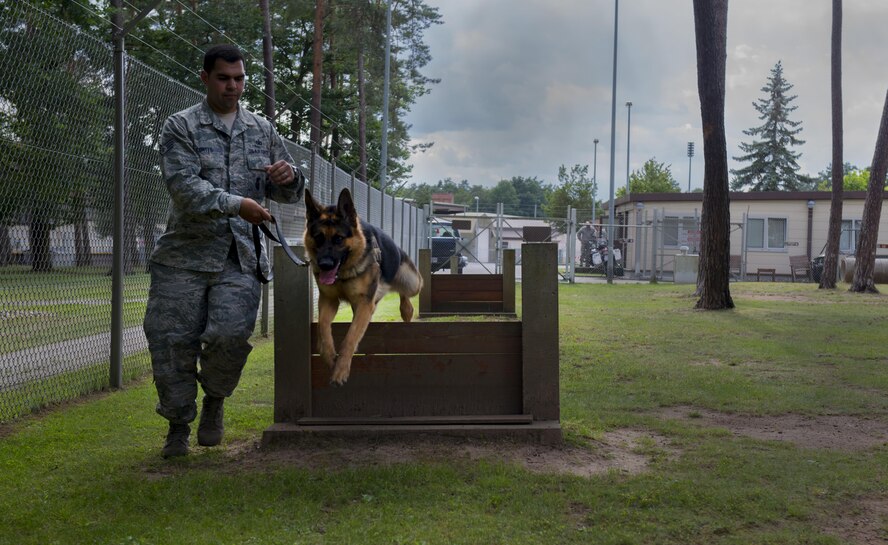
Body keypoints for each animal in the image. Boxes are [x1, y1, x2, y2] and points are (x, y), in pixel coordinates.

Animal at [306, 189, 424, 384]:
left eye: (339, 239)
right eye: (319, 238)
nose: (324, 265)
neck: (344, 274)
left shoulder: (363, 304)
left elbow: (351, 337)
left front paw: (340, 371)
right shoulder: (329, 300)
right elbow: (323, 327)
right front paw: (329, 357)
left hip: (412, 283)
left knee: (407, 291)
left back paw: (406, 310)